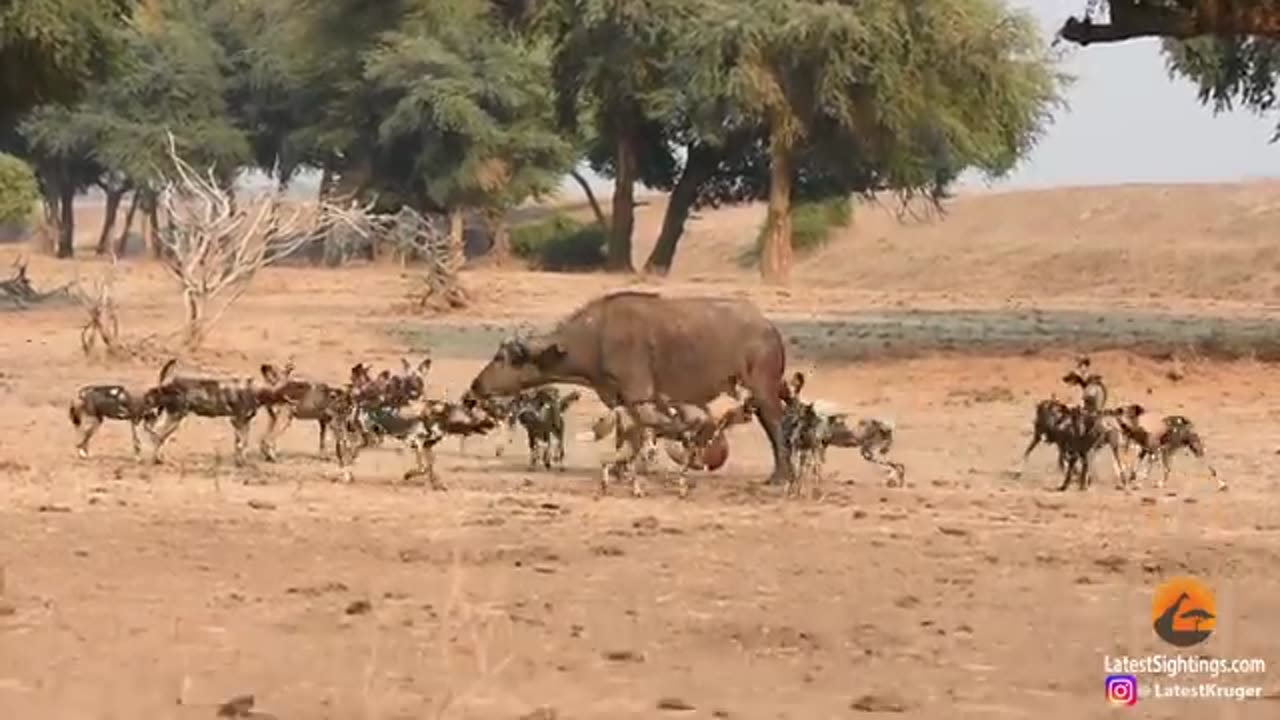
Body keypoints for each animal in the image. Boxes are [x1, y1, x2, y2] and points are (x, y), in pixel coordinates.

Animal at [471, 289, 788, 481]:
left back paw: (781, 476)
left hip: (763, 391)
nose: (476, 386)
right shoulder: (620, 400)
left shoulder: (639, 396)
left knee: (777, 424)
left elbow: (652, 431)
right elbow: (629, 434)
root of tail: (770, 328)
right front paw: (624, 468)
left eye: (501, 358)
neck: (595, 337)